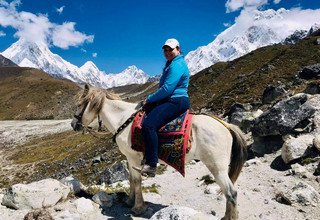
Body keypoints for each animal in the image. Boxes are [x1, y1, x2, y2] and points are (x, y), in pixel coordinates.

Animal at [70, 84, 248, 220]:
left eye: (79, 104)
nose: (73, 124)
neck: (123, 120)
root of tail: (226, 125)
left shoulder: (134, 158)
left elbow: (137, 180)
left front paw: (138, 208)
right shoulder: (129, 157)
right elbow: (132, 179)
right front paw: (129, 201)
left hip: (217, 167)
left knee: (231, 193)